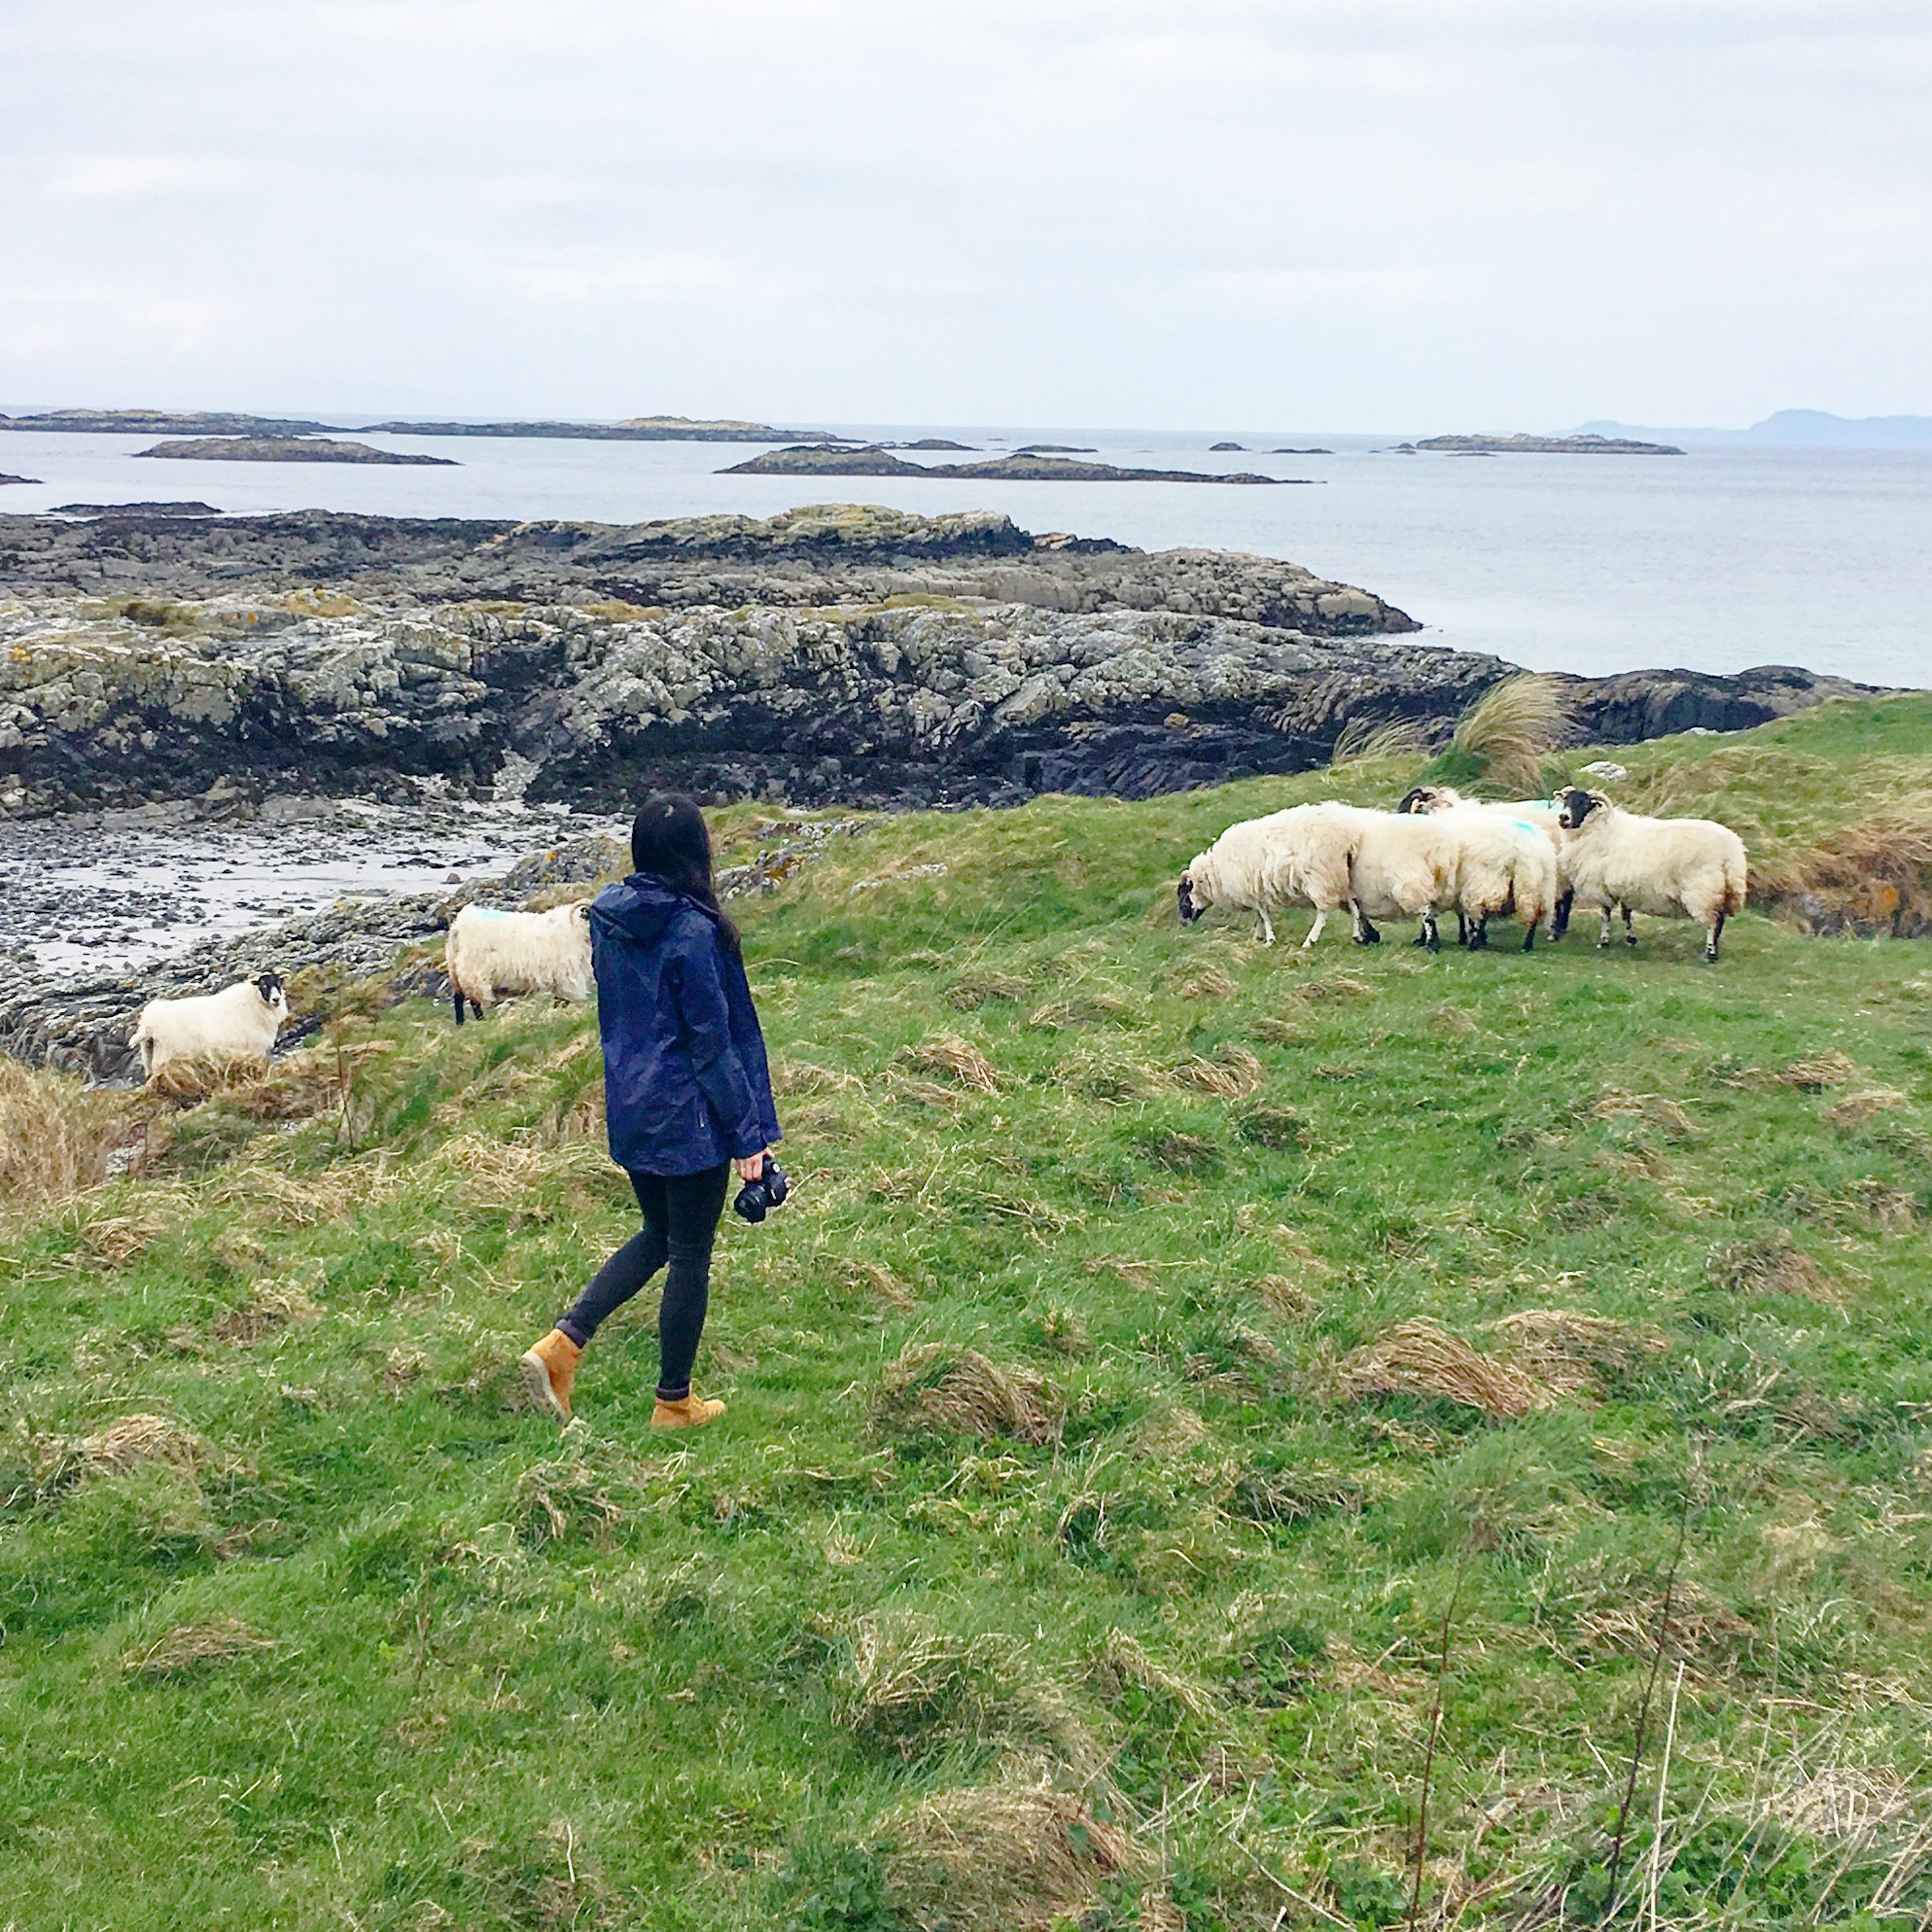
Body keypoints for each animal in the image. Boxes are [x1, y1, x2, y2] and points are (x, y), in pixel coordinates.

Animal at [445, 903, 591, 1028]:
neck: (576, 929)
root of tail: (458, 926)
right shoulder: (567, 976)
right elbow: (564, 1000)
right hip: (474, 973)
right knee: (472, 1001)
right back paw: (477, 1022)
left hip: (457, 971)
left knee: (459, 997)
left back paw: (462, 1023)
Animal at [1553, 784, 1754, 966]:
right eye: (1566, 800)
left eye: (1585, 803)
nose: (1563, 818)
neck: (1599, 828)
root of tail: (1733, 851)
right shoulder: (1625, 886)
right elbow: (1626, 915)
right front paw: (1630, 940)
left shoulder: (1602, 885)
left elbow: (1606, 915)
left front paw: (1603, 942)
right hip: (1722, 890)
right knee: (1720, 921)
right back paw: (1714, 952)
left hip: (1703, 889)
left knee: (1713, 923)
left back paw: (1709, 954)